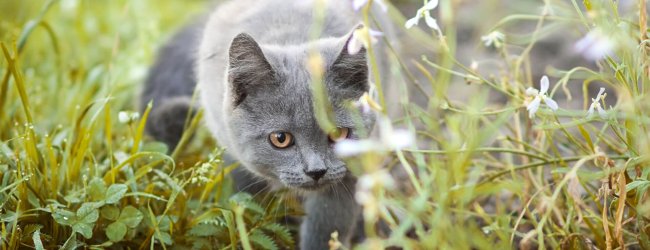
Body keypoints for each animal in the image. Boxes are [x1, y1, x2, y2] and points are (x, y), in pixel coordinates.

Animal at [140, 0, 374, 248]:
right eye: (280, 138)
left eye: (339, 133)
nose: (316, 171)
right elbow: (247, 194)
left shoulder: (351, 168)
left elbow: (328, 225)